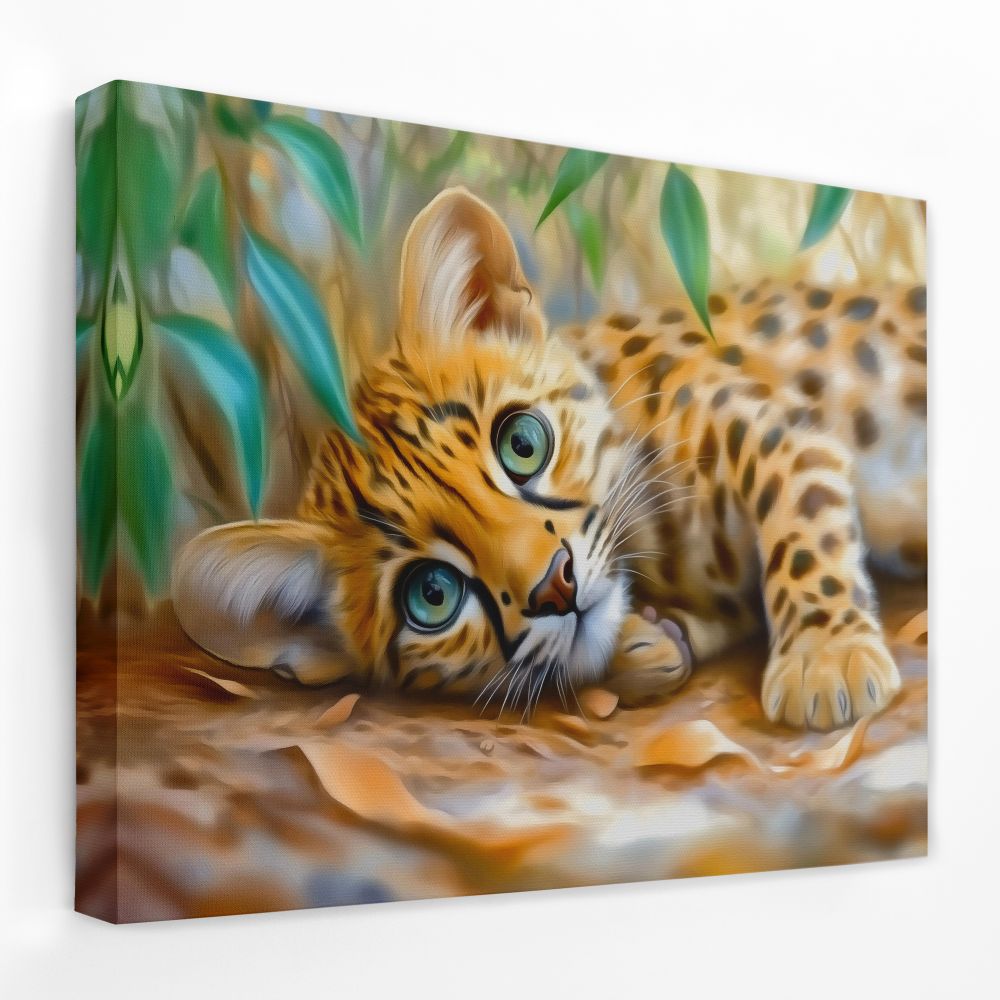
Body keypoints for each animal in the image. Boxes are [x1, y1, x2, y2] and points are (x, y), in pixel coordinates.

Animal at [172, 186, 927, 730]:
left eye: (523, 444)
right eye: (431, 596)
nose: (554, 588)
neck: (660, 548)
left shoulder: (777, 431)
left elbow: (801, 524)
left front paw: (828, 656)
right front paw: (649, 643)